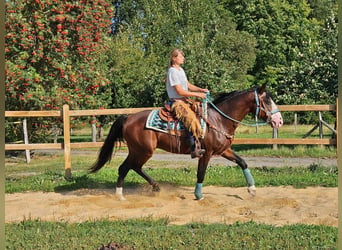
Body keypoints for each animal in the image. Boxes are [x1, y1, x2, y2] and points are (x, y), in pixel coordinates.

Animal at [89, 85, 284, 200]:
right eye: (267, 101)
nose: (279, 121)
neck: (220, 119)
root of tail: (128, 117)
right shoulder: (207, 153)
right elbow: (201, 174)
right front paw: (198, 195)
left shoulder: (223, 150)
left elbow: (243, 162)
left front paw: (252, 189)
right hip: (143, 151)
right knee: (125, 168)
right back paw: (120, 196)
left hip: (140, 151)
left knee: (134, 167)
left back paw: (155, 187)